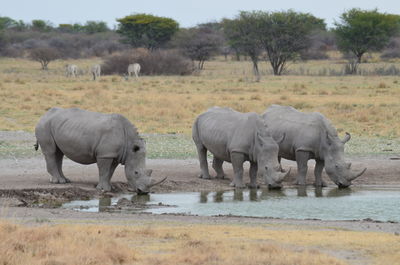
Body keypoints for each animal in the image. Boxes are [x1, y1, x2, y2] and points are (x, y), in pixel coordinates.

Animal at [34, 107, 165, 194]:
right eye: (136, 172)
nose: (143, 192)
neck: (129, 146)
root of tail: (44, 115)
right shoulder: (105, 154)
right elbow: (104, 170)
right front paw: (103, 189)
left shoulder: (114, 155)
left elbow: (110, 172)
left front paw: (110, 188)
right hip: (44, 126)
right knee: (51, 152)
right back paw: (58, 182)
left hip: (56, 126)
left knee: (59, 153)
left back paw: (65, 181)